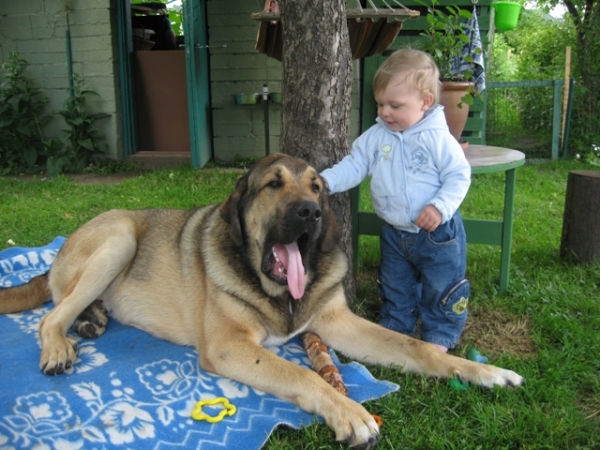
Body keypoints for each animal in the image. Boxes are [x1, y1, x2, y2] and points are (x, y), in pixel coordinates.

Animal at [0, 154, 524, 446]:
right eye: (273, 184)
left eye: (317, 187)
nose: (312, 212)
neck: (276, 290)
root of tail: (62, 247)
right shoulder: (231, 346)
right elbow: (302, 374)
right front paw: (349, 412)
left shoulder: (336, 322)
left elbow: (417, 348)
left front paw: (483, 372)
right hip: (119, 239)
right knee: (50, 315)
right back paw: (60, 345)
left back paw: (91, 320)